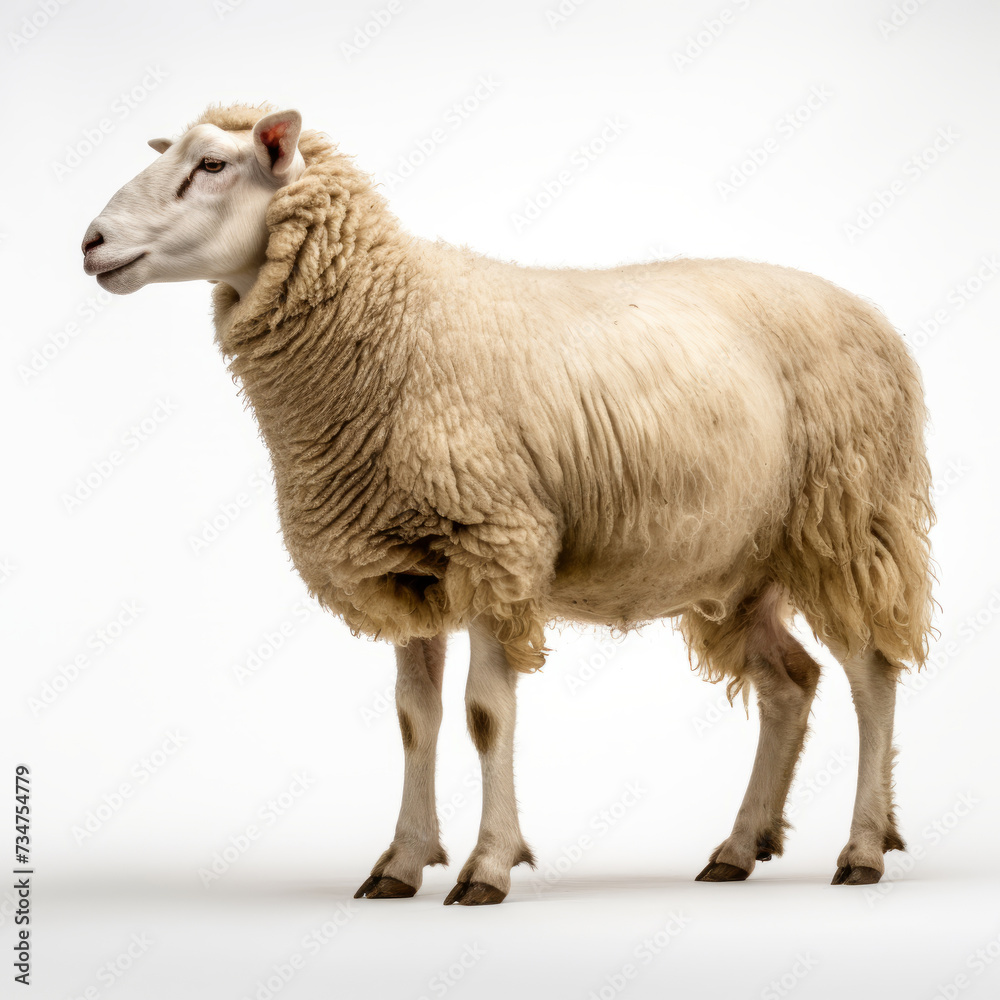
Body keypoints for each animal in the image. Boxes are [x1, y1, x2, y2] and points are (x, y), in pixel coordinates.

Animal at [81, 102, 934, 905]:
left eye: (213, 165)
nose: (90, 241)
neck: (394, 319)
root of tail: (870, 314)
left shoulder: (494, 544)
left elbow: (485, 715)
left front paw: (487, 866)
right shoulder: (405, 565)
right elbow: (413, 718)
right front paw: (401, 862)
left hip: (846, 522)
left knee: (872, 674)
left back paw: (862, 848)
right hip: (740, 563)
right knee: (792, 682)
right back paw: (739, 845)